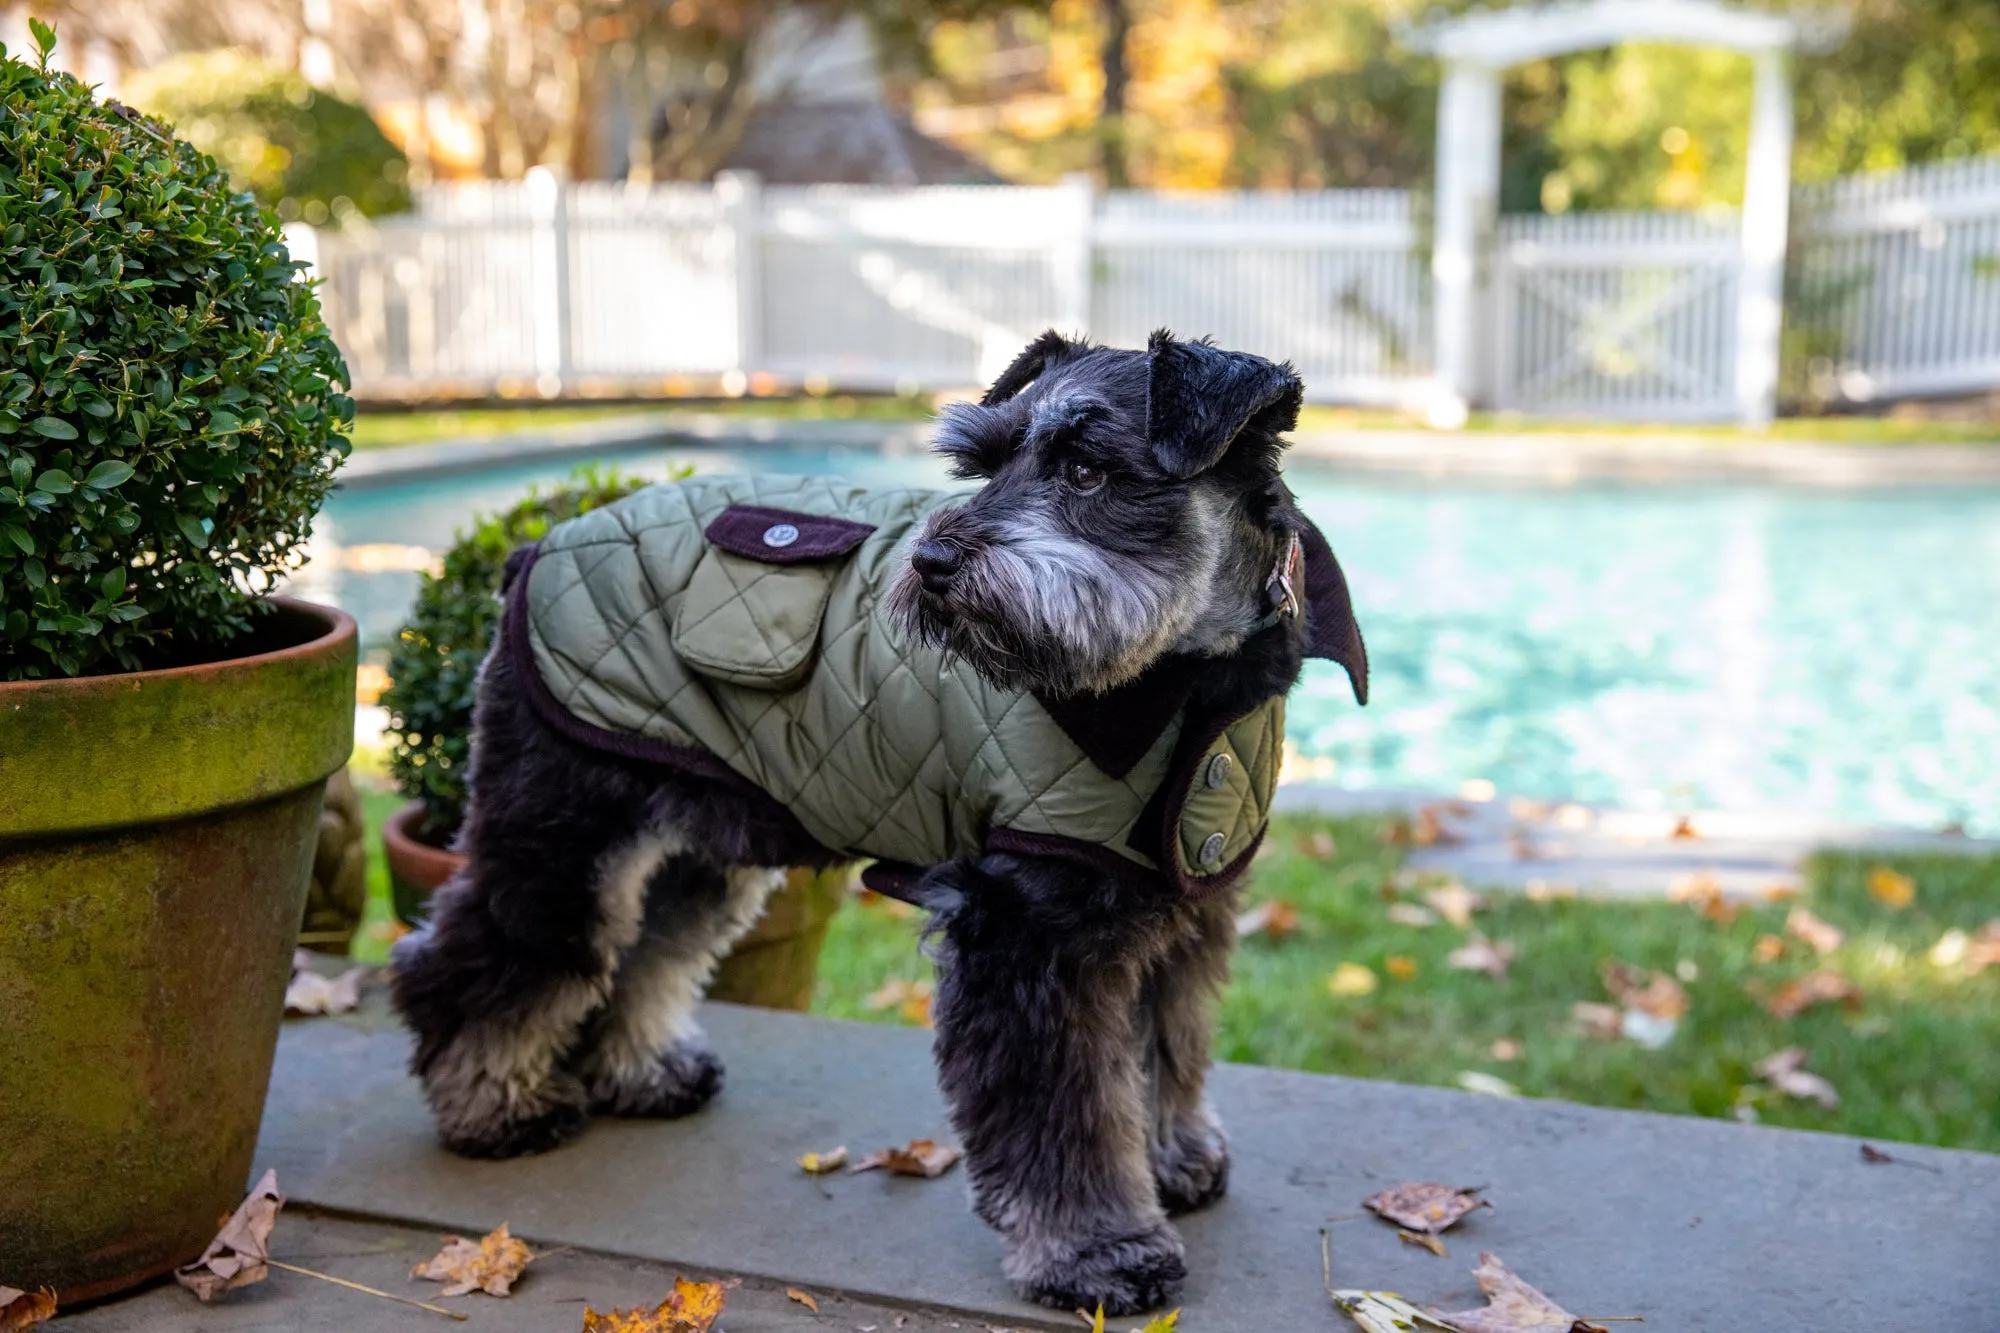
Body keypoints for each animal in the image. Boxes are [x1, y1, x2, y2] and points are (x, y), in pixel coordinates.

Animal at [386, 330, 1360, 1304]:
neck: (1188, 681)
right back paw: (494, 1106)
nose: (932, 565)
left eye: (1089, 470)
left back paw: (639, 1071)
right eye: (983, 462)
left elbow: (1167, 1047)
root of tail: (537, 545)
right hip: (561, 828)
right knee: (481, 956)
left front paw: (1171, 1158)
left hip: (696, 838)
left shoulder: (1178, 908)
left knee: (644, 946)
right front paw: (1096, 1247)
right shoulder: (1029, 937)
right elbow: (1066, 1112)